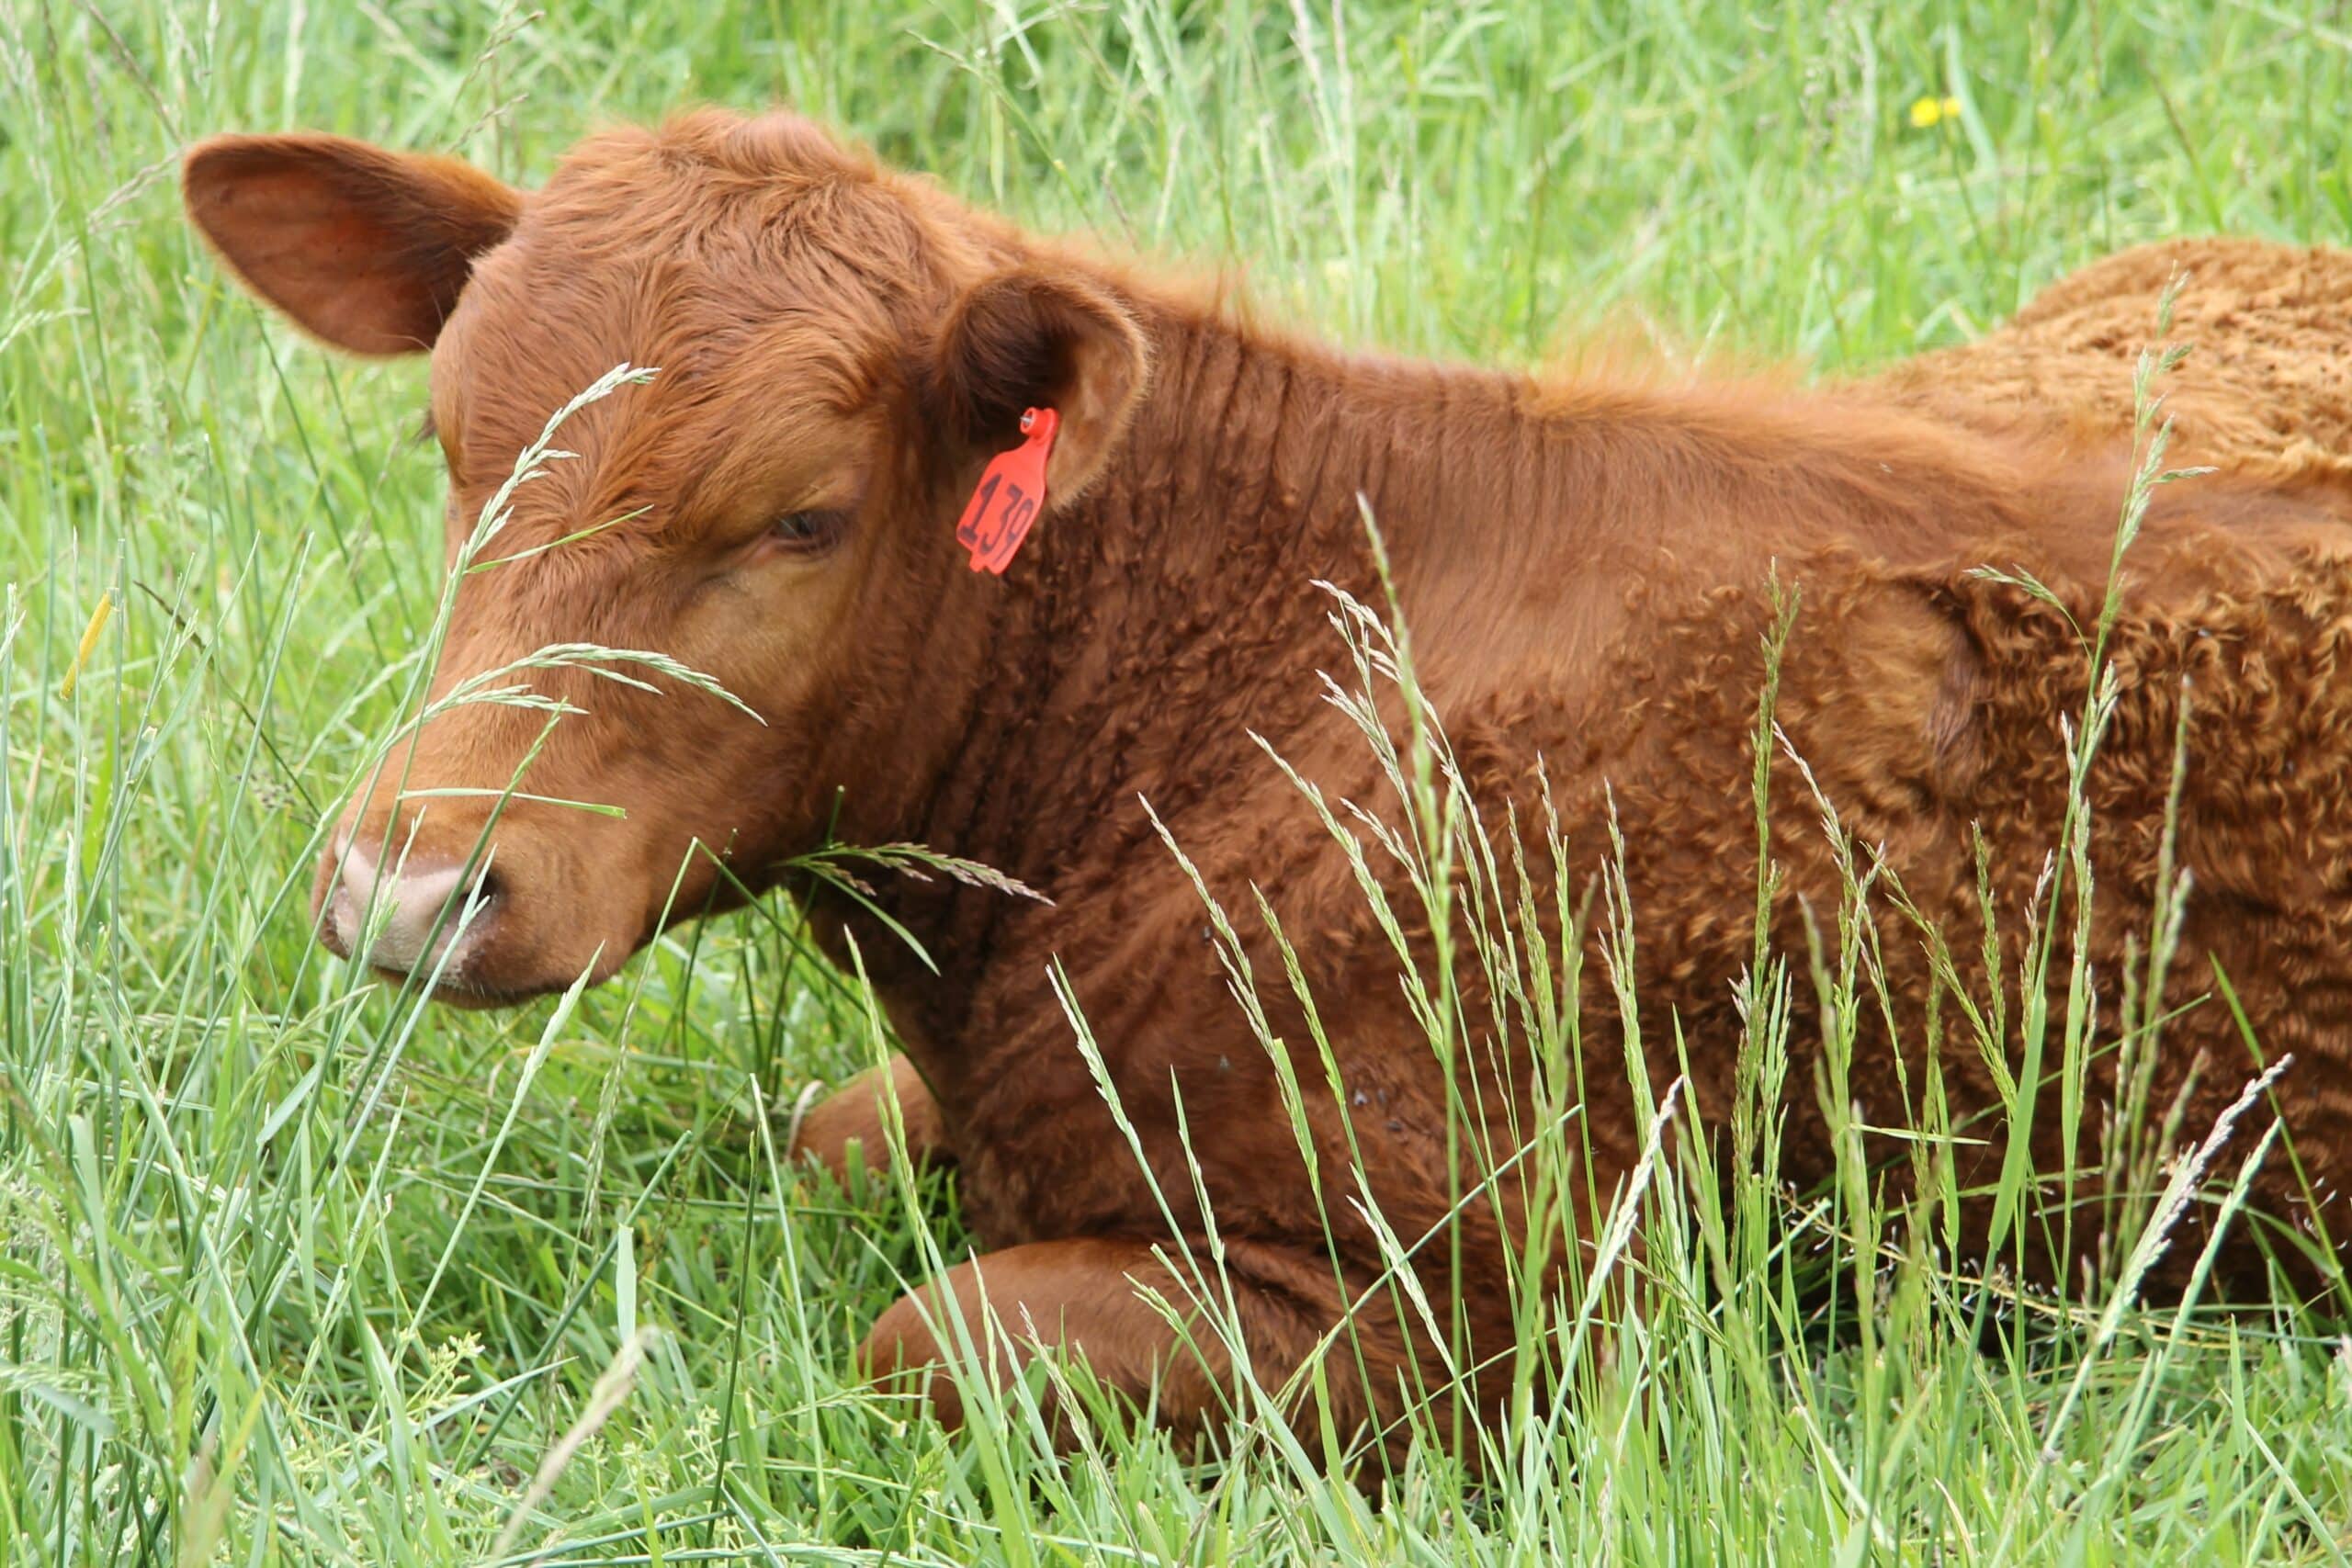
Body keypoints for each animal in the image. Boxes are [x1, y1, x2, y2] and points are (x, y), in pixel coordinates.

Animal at [181, 109, 2352, 1458]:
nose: (408, 886)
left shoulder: (1505, 1302)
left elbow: (930, 1332)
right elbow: (827, 1134)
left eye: (799, 513)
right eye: (454, 452)